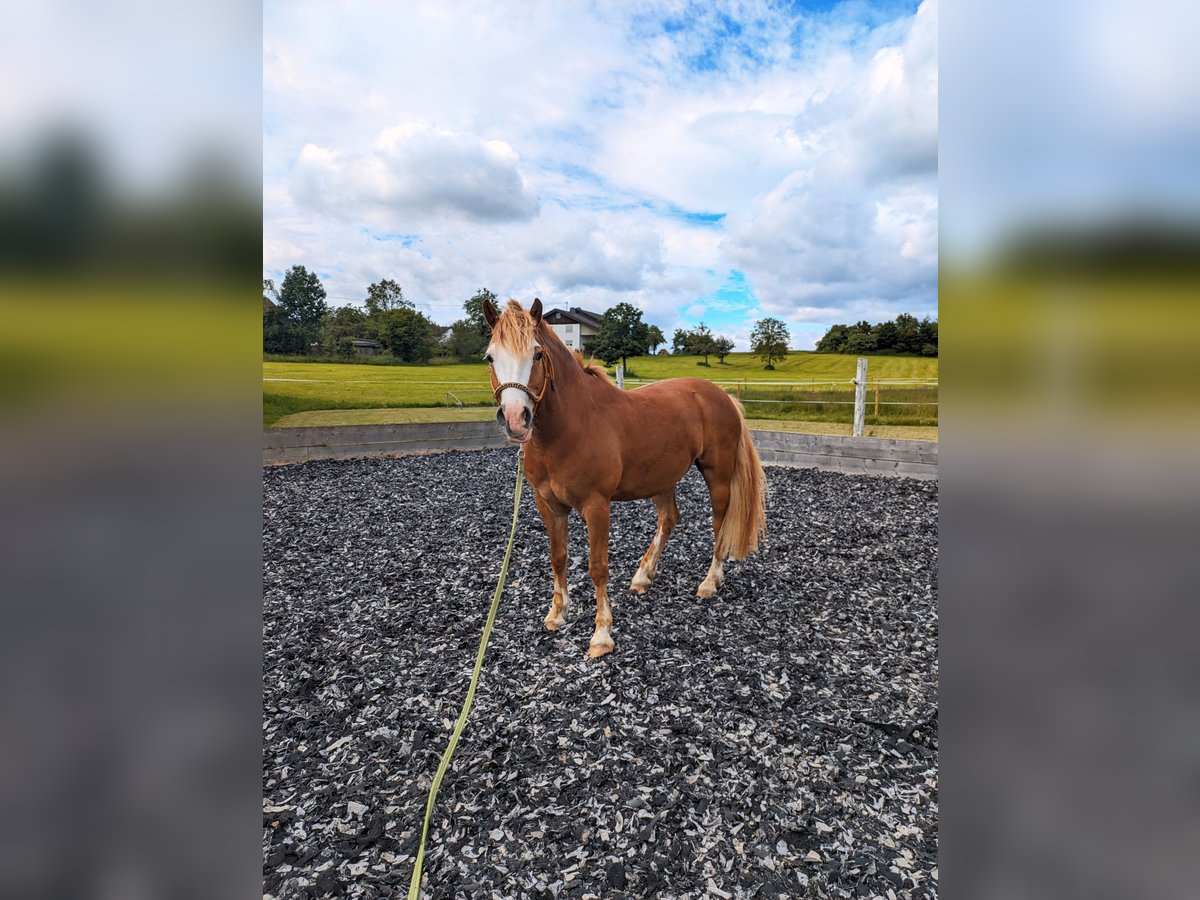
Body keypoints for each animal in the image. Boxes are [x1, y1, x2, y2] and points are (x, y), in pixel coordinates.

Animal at [482, 300, 763, 657]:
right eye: (490, 357)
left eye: (538, 354)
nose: (516, 419)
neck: (568, 428)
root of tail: (723, 396)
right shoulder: (548, 505)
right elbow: (558, 558)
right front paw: (557, 614)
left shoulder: (596, 506)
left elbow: (597, 567)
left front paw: (602, 635)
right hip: (661, 478)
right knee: (669, 518)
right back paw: (643, 576)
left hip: (718, 474)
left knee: (719, 524)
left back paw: (709, 582)